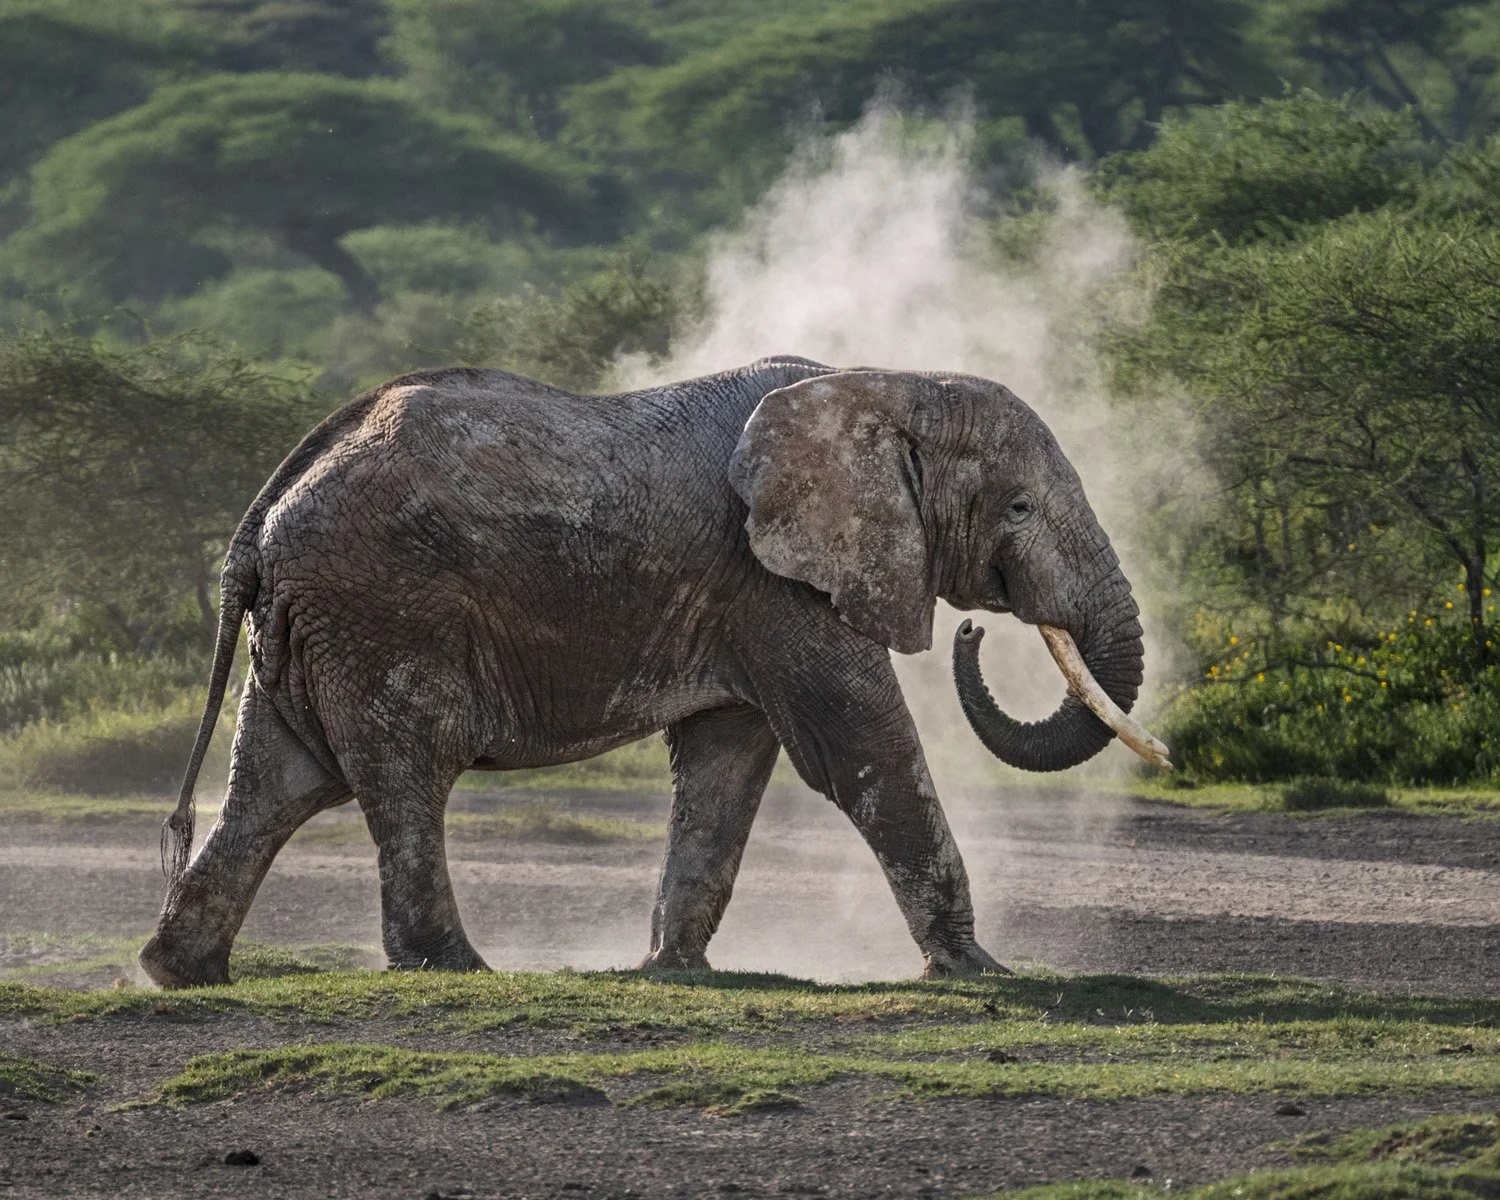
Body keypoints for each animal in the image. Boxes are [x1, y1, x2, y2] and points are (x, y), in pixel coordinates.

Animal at [140, 356, 1166, 989]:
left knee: (273, 784)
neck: (888, 384)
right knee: (404, 772)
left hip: (313, 627)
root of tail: (263, 515)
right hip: (383, 613)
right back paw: (456, 969)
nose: (980, 631)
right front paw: (980, 972)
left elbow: (726, 762)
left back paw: (176, 971)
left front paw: (673, 970)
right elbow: (857, 746)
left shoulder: (747, 595)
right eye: (1020, 507)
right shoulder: (773, 581)